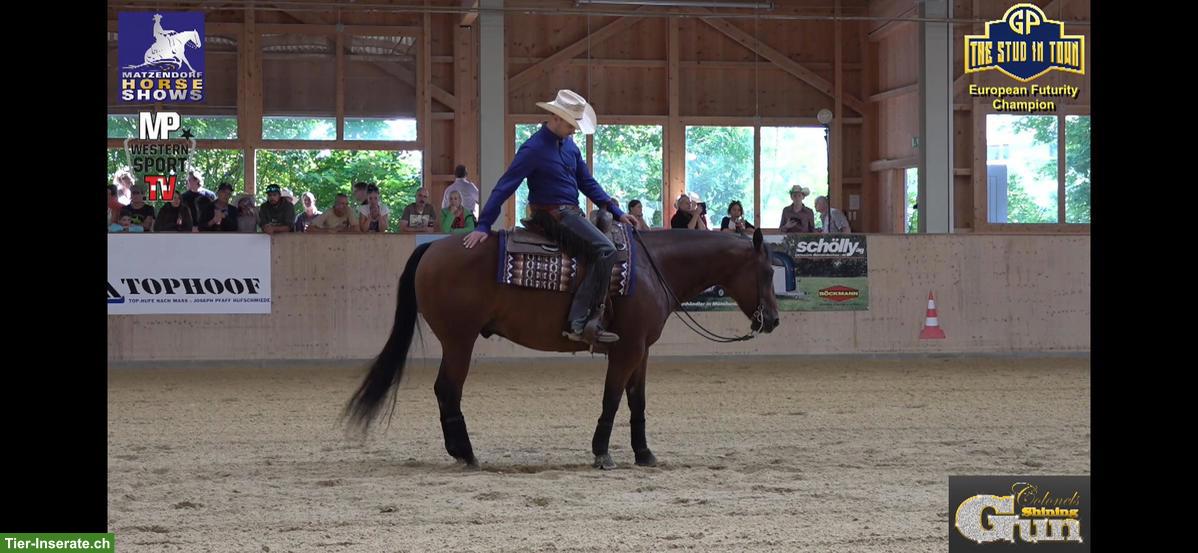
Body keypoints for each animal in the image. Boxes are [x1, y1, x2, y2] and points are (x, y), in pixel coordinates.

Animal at [344, 227, 781, 469]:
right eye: (767, 271)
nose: (773, 320)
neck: (651, 268)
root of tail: (432, 248)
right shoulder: (625, 350)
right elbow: (611, 399)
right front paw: (602, 453)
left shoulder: (641, 350)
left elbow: (636, 401)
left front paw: (644, 453)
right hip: (459, 340)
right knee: (448, 390)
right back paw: (465, 453)